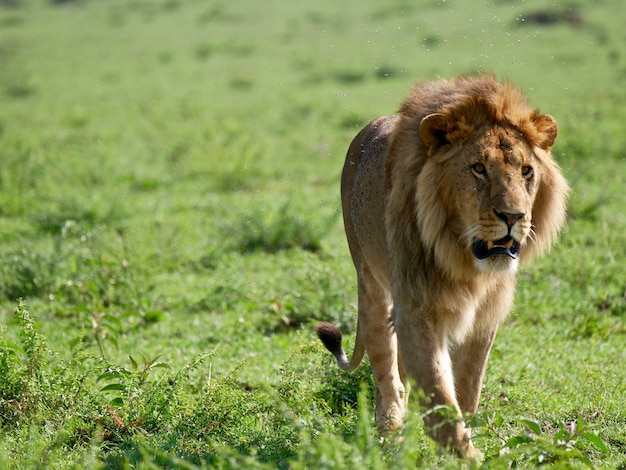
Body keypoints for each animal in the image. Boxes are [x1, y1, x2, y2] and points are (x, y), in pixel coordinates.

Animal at [314, 75, 568, 458]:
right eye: (478, 168)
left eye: (526, 171)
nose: (513, 216)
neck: (465, 261)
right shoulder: (417, 308)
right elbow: (438, 391)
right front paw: (468, 457)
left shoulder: (485, 317)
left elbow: (466, 389)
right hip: (370, 284)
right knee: (387, 372)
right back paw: (389, 430)